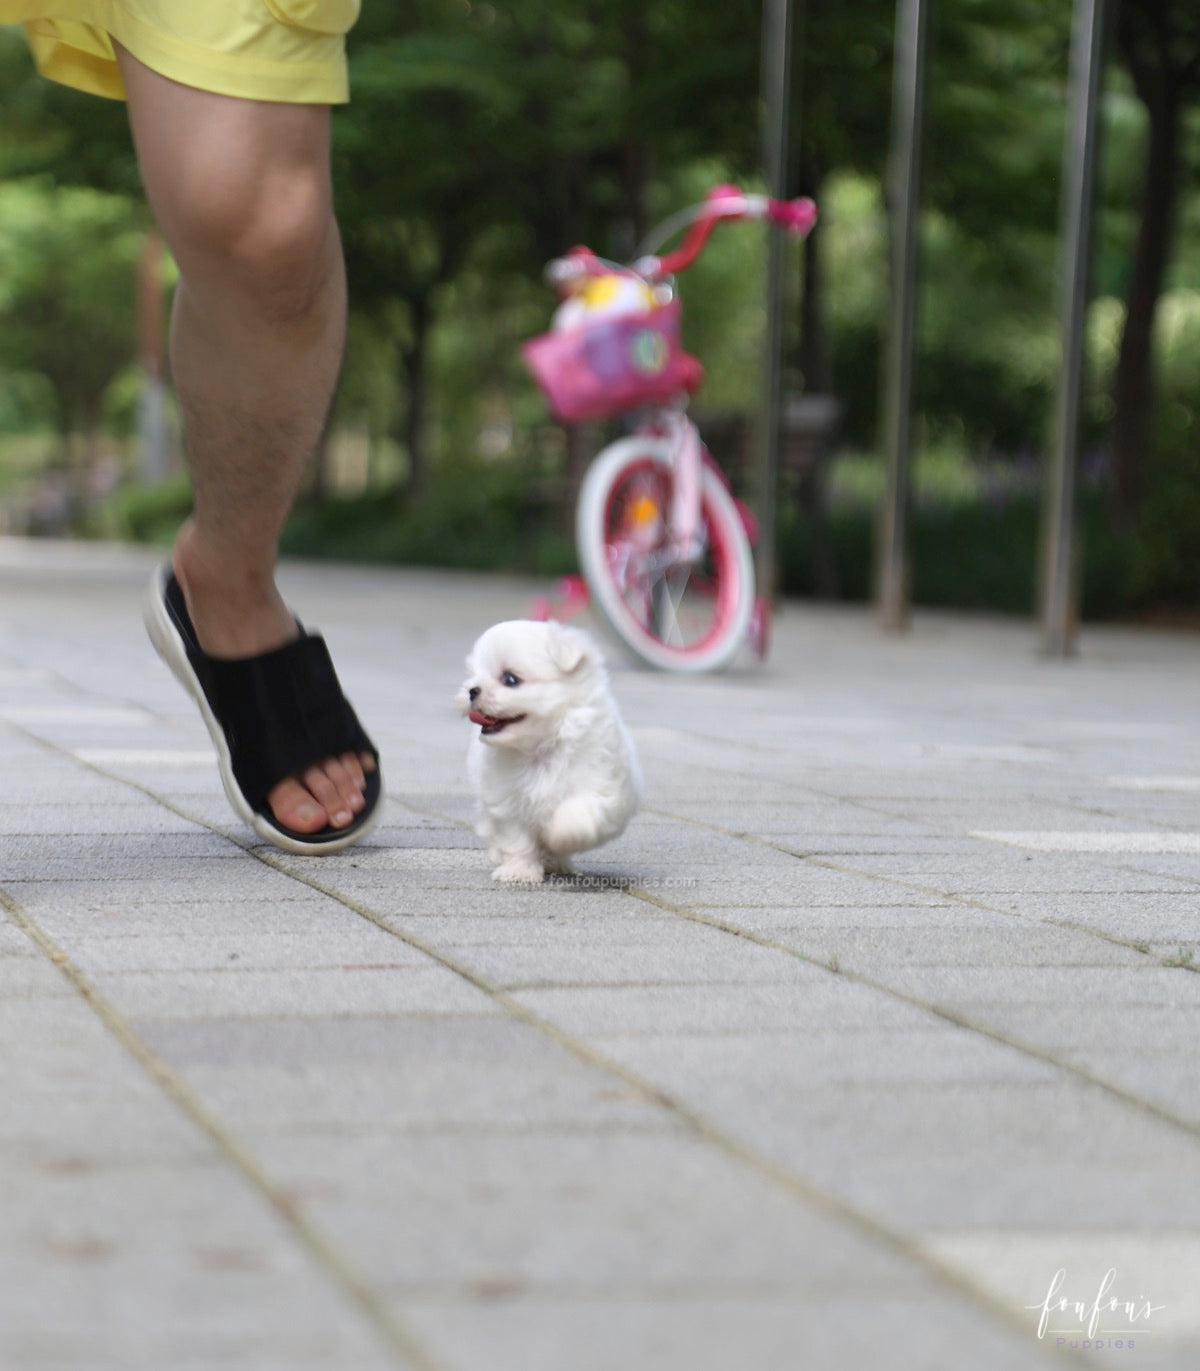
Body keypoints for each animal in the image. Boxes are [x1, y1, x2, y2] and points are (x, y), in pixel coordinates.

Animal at [458, 619, 641, 882]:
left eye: (510, 679)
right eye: (473, 674)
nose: (471, 690)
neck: (542, 747)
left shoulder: (599, 785)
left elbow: (576, 813)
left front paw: (563, 836)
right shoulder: (508, 800)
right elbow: (516, 839)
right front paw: (519, 871)